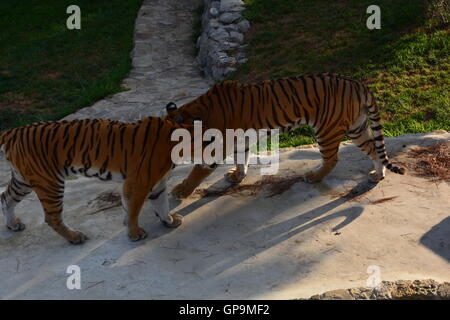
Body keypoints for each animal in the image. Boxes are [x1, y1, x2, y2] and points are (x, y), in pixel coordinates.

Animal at [0, 116, 200, 244]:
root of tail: (12, 132)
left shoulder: (157, 184)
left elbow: (161, 204)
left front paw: (169, 221)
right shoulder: (138, 182)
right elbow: (133, 209)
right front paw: (134, 233)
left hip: (23, 181)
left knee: (5, 198)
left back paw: (13, 224)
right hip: (49, 183)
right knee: (51, 217)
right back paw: (75, 237)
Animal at [165, 72, 404, 199]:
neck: (199, 114)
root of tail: (358, 84)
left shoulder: (218, 146)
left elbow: (198, 171)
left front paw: (181, 190)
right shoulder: (240, 140)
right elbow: (241, 158)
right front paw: (237, 175)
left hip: (326, 129)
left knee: (332, 159)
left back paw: (313, 177)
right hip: (357, 128)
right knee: (375, 149)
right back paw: (377, 175)